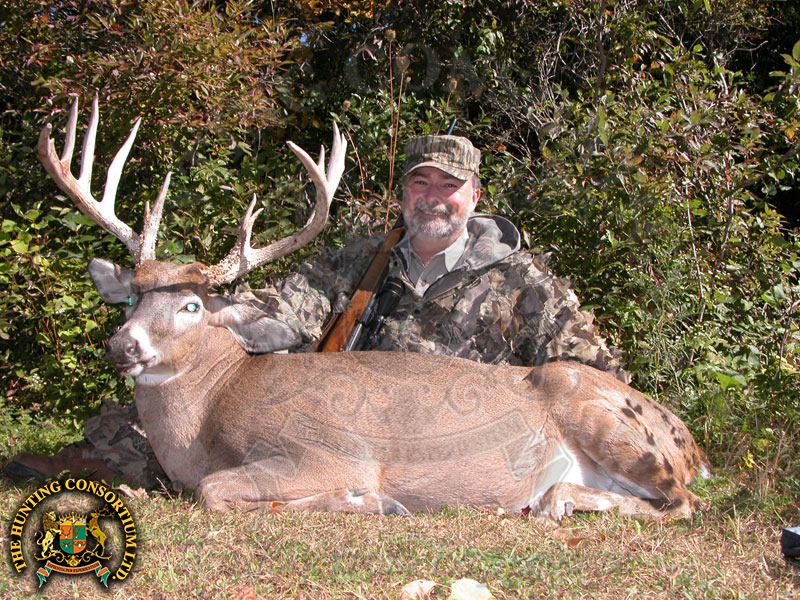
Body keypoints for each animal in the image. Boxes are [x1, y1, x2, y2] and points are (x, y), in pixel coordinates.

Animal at [37, 96, 710, 521]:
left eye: (194, 305)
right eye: (133, 294)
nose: (123, 345)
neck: (209, 413)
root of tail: (696, 448)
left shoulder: (326, 452)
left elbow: (213, 490)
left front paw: (360, 501)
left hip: (602, 416)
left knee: (683, 503)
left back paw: (557, 499)